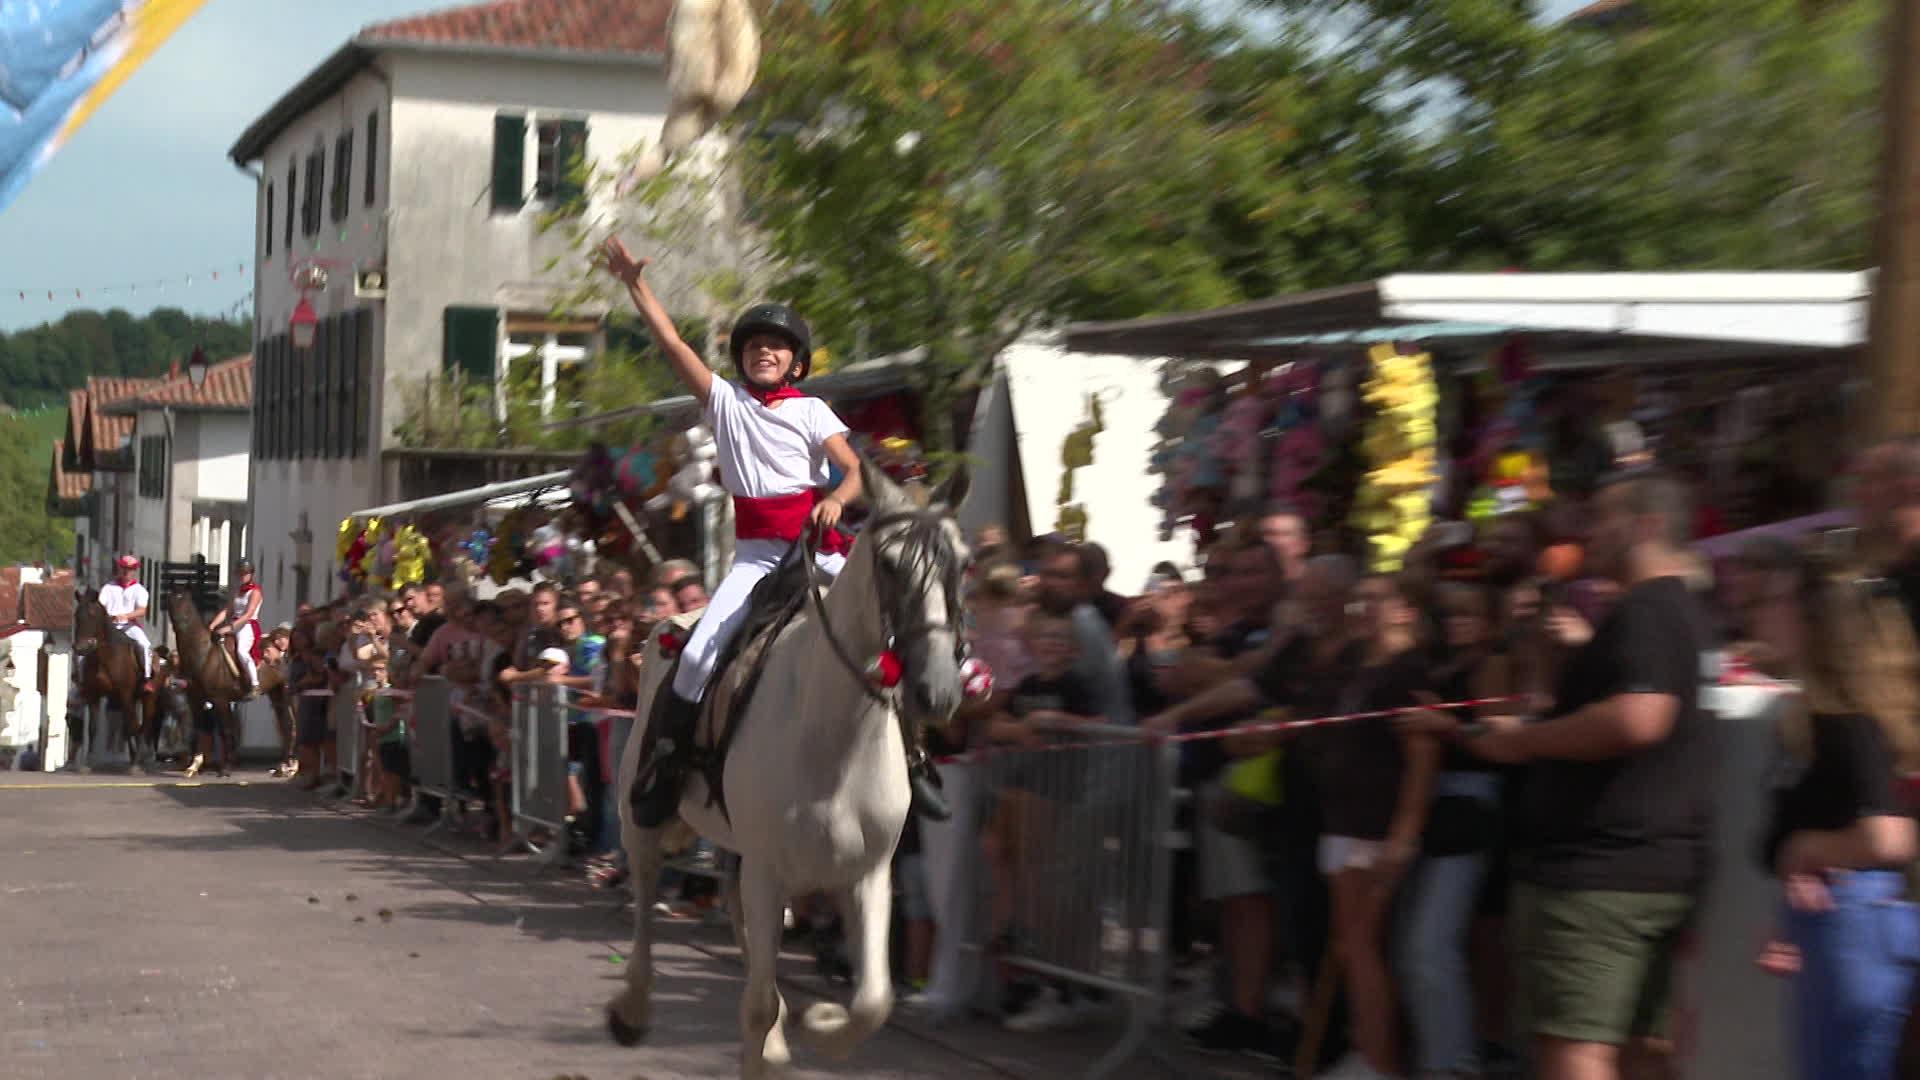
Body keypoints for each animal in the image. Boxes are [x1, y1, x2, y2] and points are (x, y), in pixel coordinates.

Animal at [71, 591, 156, 768]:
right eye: (76, 615)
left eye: (93, 614)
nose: (81, 648)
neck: (105, 656)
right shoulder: (94, 695)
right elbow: (93, 728)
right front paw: (88, 762)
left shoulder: (125, 693)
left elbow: (133, 727)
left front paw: (136, 765)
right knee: (131, 725)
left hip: (147, 699)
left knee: (143, 725)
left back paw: (139, 759)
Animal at [162, 588, 247, 772]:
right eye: (170, 601)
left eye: (186, 601)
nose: (181, 625)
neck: (204, 654)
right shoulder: (196, 699)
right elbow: (199, 729)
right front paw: (194, 764)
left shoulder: (220, 699)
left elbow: (225, 731)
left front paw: (225, 768)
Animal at [610, 457, 975, 1068]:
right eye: (890, 563)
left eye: (963, 563)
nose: (939, 689)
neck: (835, 741)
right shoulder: (769, 873)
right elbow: (758, 1004)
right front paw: (793, 1031)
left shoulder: (867, 875)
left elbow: (873, 1001)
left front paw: (817, 1023)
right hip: (643, 821)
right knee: (643, 900)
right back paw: (632, 1010)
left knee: (736, 923)